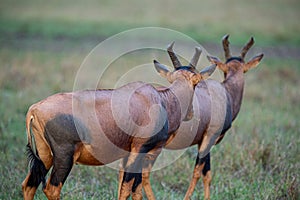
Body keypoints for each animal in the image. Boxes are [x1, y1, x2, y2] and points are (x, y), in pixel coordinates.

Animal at [22, 44, 217, 200]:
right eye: (196, 83)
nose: (191, 113)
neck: (159, 100)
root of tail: (34, 109)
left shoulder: (128, 154)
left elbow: (134, 190)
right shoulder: (139, 150)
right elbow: (127, 188)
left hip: (45, 156)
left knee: (28, 185)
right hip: (64, 157)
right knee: (51, 189)